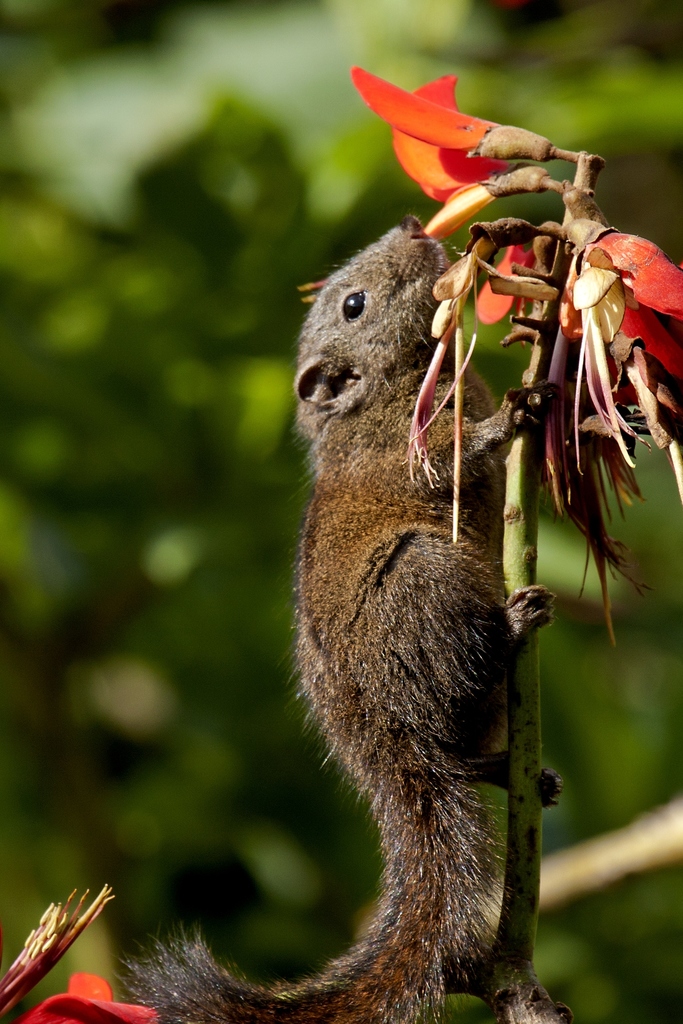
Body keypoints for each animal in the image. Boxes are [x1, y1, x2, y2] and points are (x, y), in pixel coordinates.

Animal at [126, 216, 556, 1023]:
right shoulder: (397, 449)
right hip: (420, 579)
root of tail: (382, 749)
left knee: (458, 751)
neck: (394, 385)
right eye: (354, 305)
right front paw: (510, 419)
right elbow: (447, 459)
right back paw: (514, 627)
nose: (414, 225)